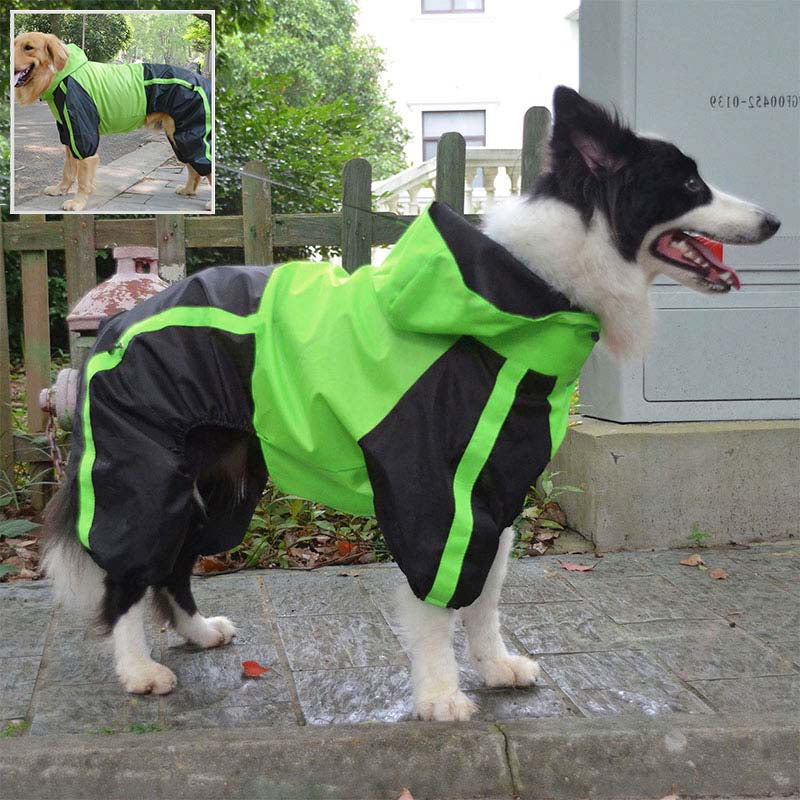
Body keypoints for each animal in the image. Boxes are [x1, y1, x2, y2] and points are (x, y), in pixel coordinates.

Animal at [40, 86, 780, 720]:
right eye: (690, 185)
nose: (775, 219)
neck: (527, 291)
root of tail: (115, 324)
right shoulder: (432, 492)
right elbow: (436, 604)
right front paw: (440, 695)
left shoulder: (496, 490)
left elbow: (486, 595)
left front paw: (495, 666)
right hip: (147, 475)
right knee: (127, 572)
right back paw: (138, 670)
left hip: (221, 486)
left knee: (174, 560)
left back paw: (196, 632)